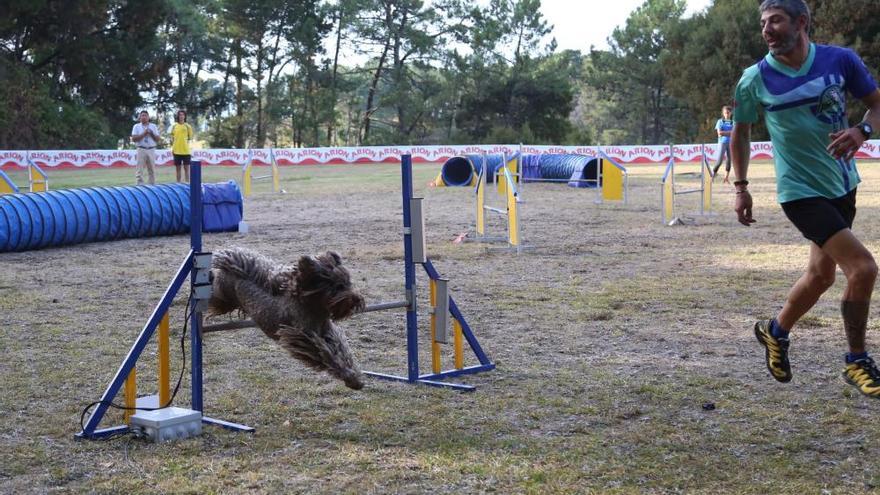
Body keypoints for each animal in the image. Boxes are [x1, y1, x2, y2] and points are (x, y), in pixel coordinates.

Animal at [208, 248, 366, 392]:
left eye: (349, 282)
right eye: (338, 286)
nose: (357, 298)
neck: (312, 307)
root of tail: (232, 270)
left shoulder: (328, 332)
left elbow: (341, 350)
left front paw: (354, 377)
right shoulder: (303, 337)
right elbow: (326, 354)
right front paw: (350, 377)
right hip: (222, 297)